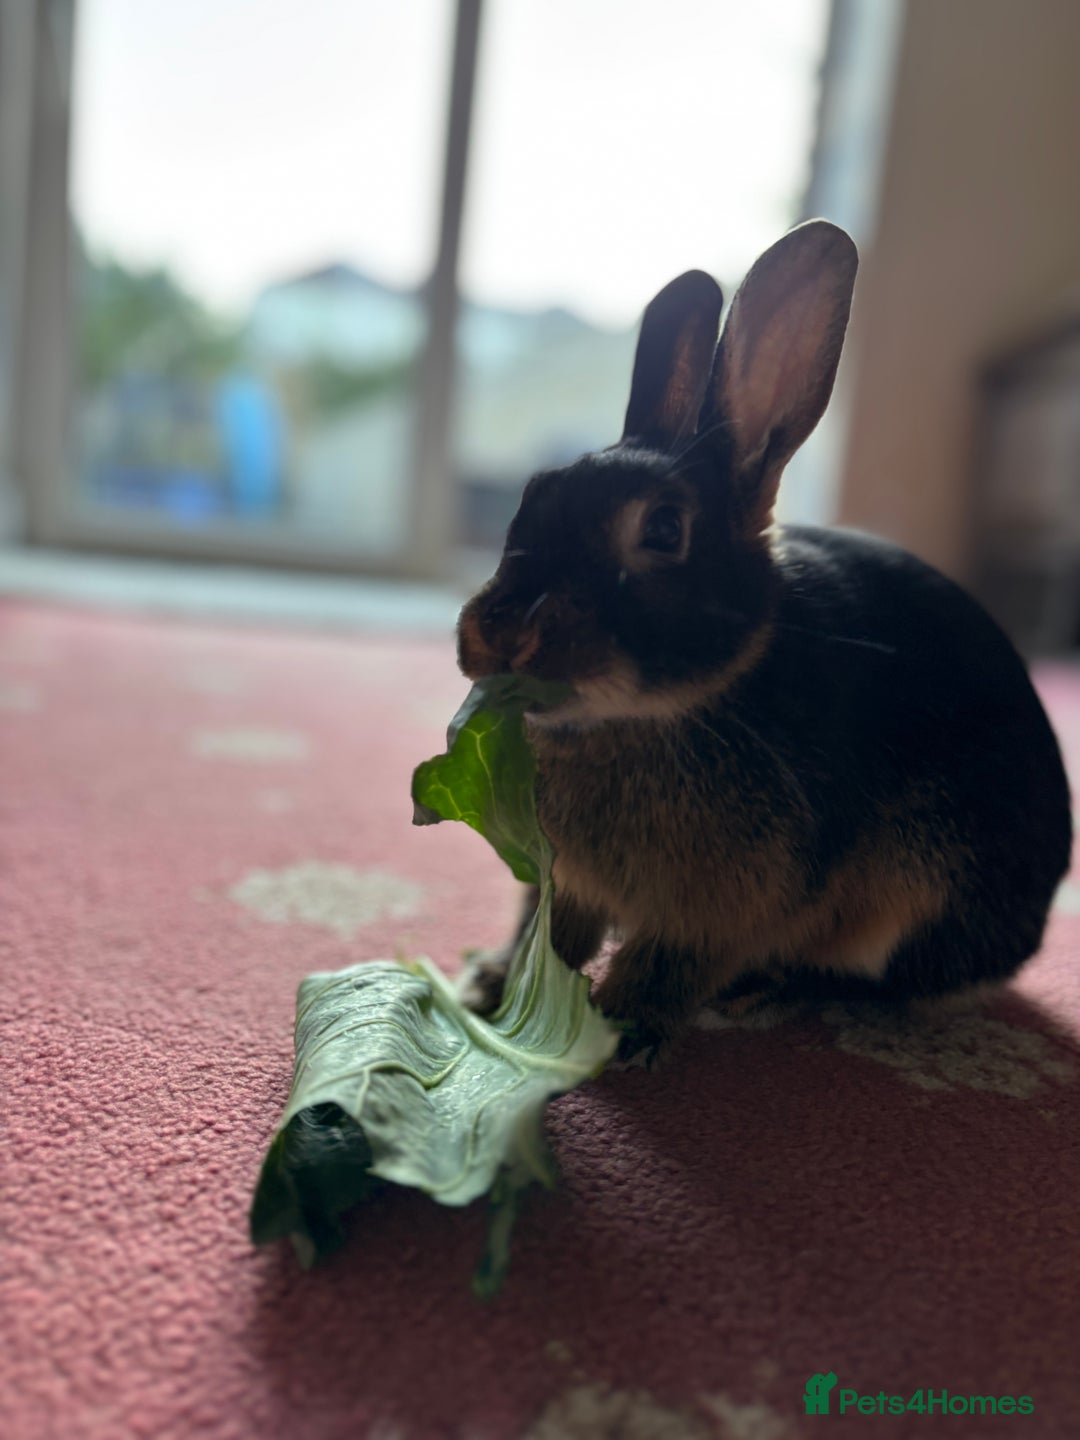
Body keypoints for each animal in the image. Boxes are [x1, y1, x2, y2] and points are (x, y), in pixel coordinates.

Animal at [455, 219, 1072, 1063]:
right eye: (533, 493)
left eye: (663, 530)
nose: (502, 634)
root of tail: (1033, 927)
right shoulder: (565, 881)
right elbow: (547, 937)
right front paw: (495, 987)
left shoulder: (733, 902)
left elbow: (674, 958)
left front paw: (622, 1030)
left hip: (923, 894)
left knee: (877, 982)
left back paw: (764, 991)